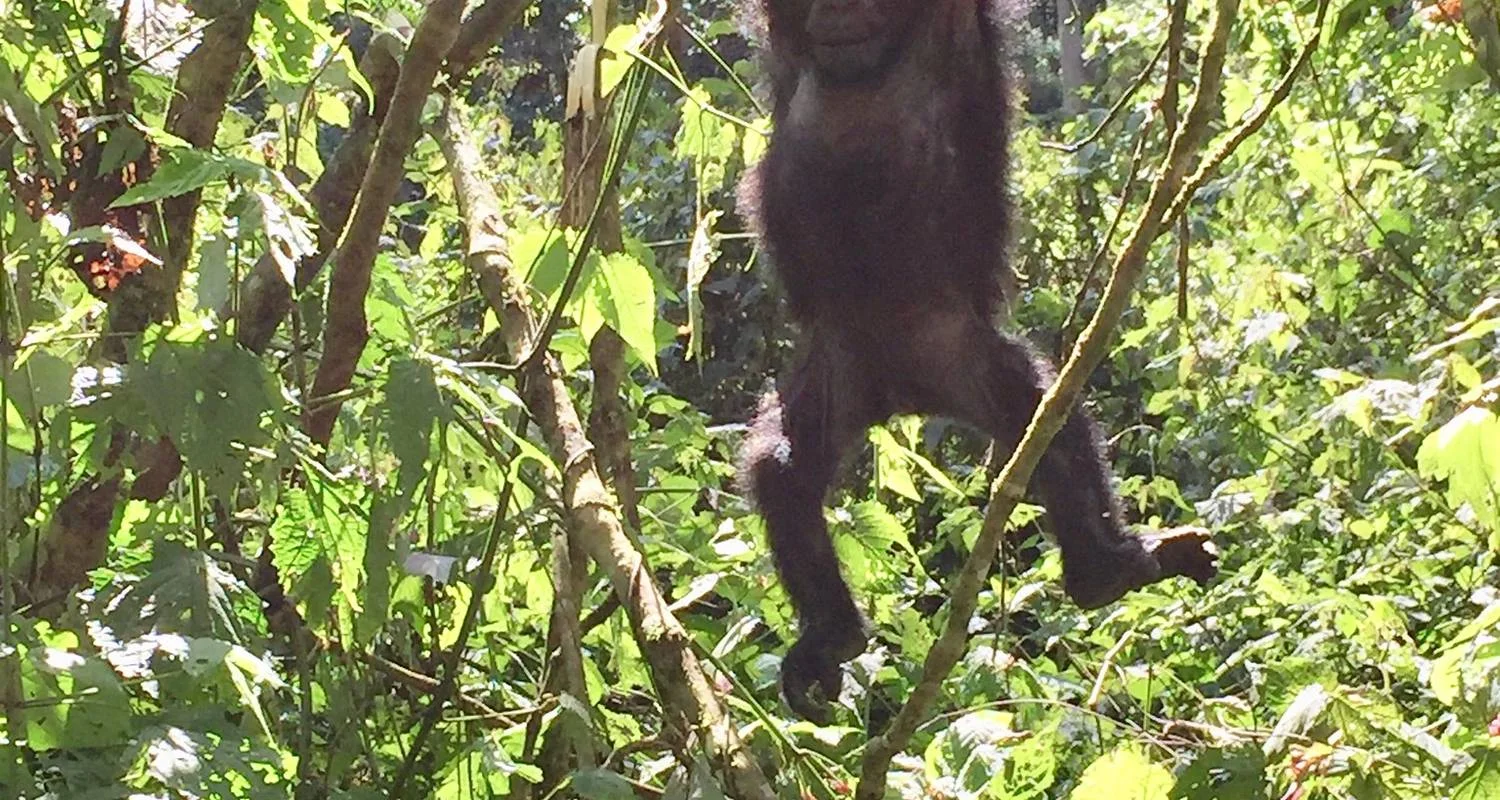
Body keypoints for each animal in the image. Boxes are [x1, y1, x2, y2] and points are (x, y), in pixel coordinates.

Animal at [735, 0, 1218, 723]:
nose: (836, 16)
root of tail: (902, 395)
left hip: (960, 355)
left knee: (1047, 421)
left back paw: (1104, 573)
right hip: (838, 373)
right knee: (783, 472)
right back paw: (832, 635)